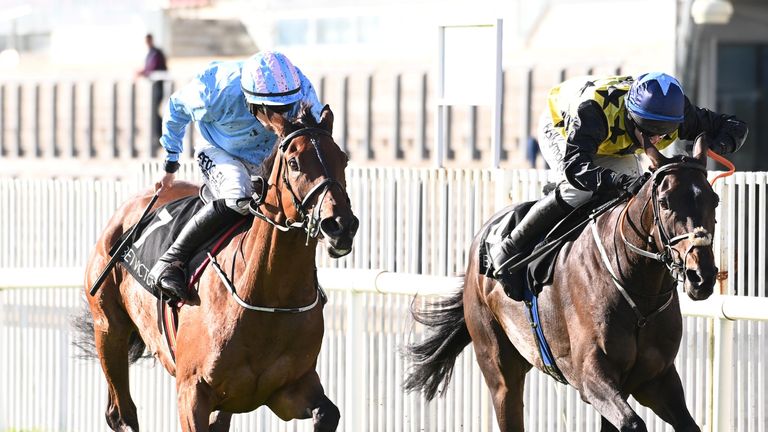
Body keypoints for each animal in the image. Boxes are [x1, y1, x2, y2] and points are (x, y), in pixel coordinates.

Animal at [79, 105, 360, 432]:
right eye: (294, 162)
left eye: (343, 158)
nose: (340, 225)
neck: (269, 295)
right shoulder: (192, 392)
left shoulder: (291, 389)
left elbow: (329, 412)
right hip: (109, 328)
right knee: (121, 414)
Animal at [408, 136, 720, 432]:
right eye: (665, 202)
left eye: (714, 200)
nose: (700, 276)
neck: (638, 294)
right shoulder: (591, 376)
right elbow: (632, 423)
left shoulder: (656, 379)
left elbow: (687, 425)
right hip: (498, 368)